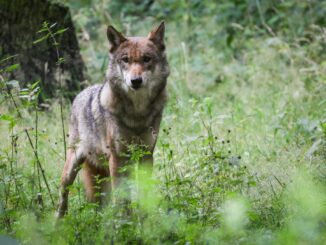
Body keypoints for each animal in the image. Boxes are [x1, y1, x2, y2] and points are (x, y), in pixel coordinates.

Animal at [56, 22, 169, 218]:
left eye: (146, 59)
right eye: (125, 60)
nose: (136, 81)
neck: (137, 114)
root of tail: (81, 93)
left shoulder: (146, 155)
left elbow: (143, 194)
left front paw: (145, 220)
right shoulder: (117, 158)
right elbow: (122, 197)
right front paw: (125, 222)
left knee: (99, 205)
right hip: (73, 167)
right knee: (63, 195)